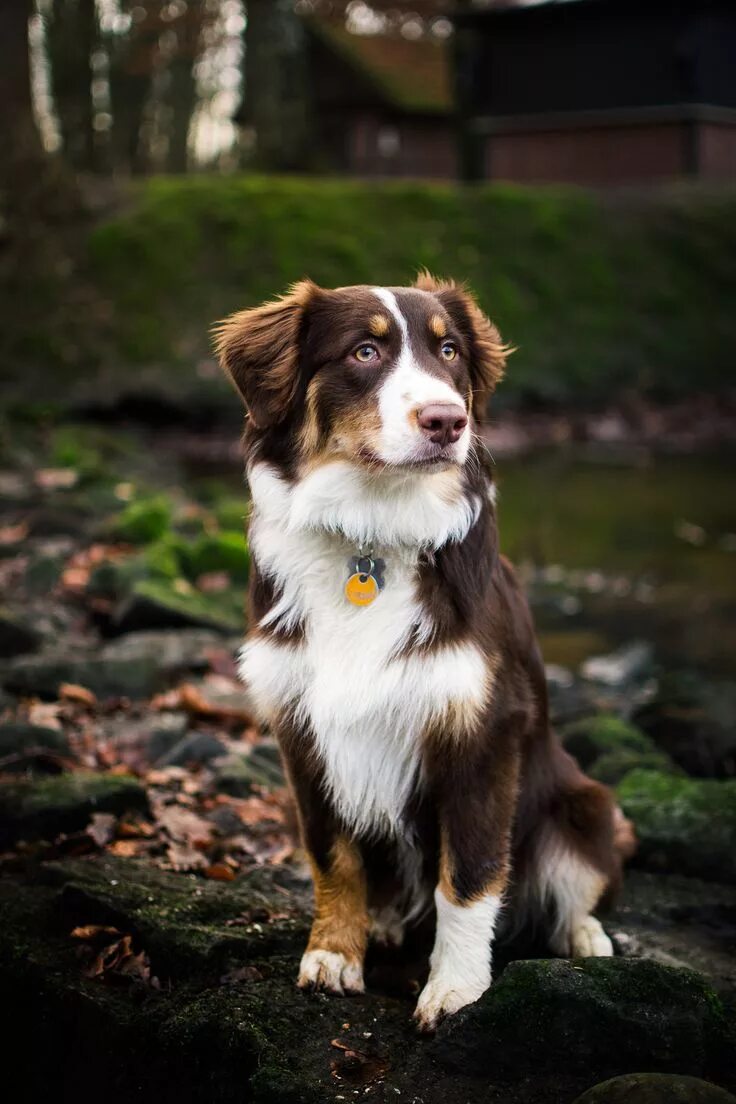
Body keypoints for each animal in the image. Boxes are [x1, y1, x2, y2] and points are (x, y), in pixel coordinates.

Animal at [214, 276, 635, 1033]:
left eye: (448, 351)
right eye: (365, 350)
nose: (448, 421)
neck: (372, 534)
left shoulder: (482, 731)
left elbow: (466, 875)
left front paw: (456, 988)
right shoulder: (301, 729)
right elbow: (333, 856)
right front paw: (334, 954)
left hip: (584, 803)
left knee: (575, 887)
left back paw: (584, 937)